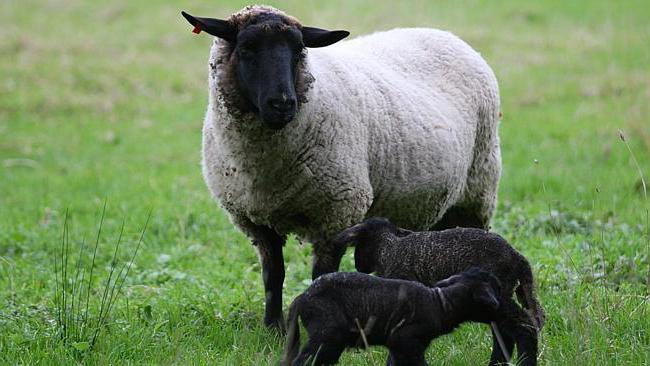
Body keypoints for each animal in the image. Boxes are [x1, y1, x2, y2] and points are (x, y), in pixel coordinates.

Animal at [182, 4, 502, 330]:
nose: (283, 103)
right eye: (247, 48)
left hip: (479, 189)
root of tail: (445, 34)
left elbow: (322, 276)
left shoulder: (336, 213)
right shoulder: (257, 221)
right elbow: (273, 277)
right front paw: (273, 328)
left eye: (299, 50)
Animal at [280, 268, 502, 364]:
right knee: (305, 360)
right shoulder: (406, 339)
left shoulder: (398, 346)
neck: (440, 303)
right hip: (327, 332)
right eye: (495, 289)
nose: (502, 307)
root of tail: (302, 297)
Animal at [332, 217, 544, 366]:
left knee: (521, 325)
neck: (388, 250)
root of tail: (518, 258)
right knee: (507, 330)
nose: (359, 267)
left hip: (497, 294)